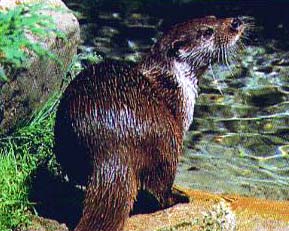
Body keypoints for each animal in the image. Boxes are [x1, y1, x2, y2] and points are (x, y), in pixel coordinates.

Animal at [54, 16, 248, 231]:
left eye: (214, 17)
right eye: (207, 32)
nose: (236, 22)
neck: (175, 85)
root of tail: (112, 146)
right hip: (168, 145)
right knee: (161, 190)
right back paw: (180, 197)